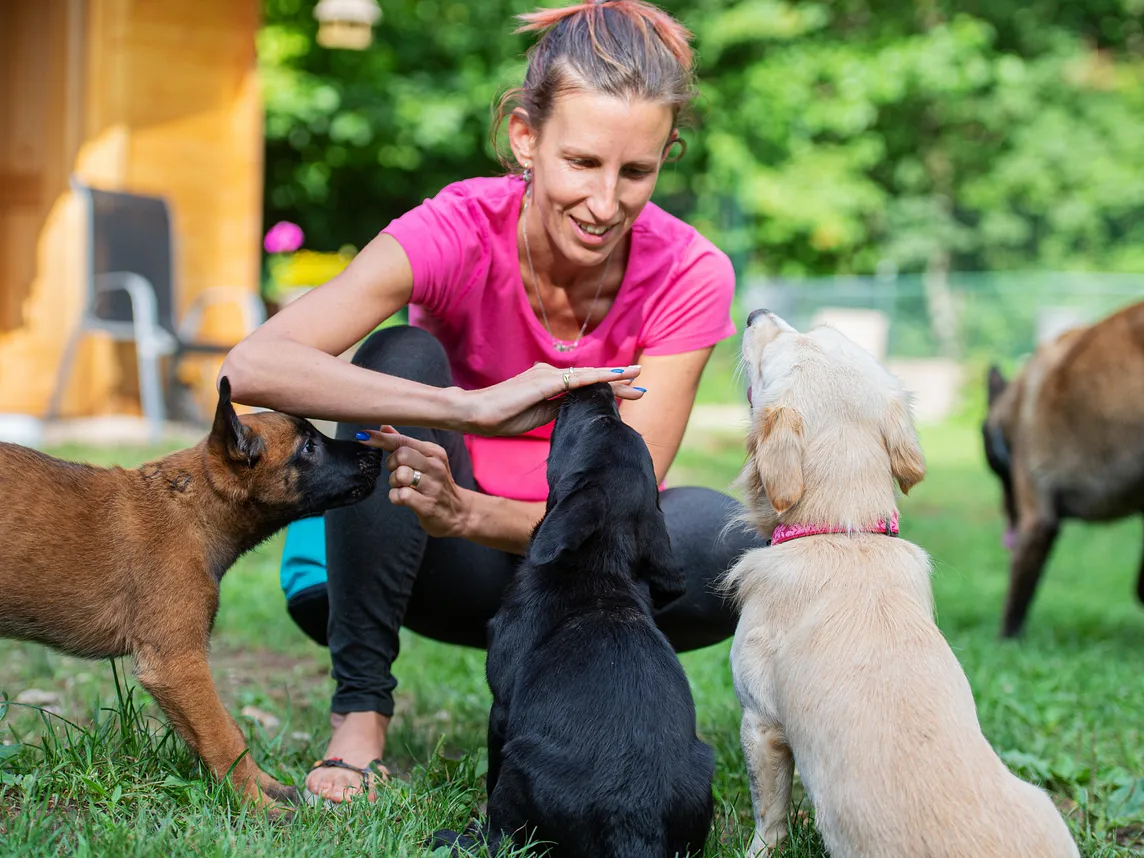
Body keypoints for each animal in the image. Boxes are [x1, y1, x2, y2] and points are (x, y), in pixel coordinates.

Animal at [0, 382, 384, 814]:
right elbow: (222, 736)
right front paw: (258, 806)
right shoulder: (177, 664)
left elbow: (225, 730)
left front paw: (265, 786)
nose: (377, 453)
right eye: (308, 447)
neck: (191, 507)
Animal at [430, 384, 709, 858]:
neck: (597, 567)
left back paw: (458, 838)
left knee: (505, 837)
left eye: (600, 422)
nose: (597, 386)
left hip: (520, 761)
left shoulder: (500, 710)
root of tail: (637, 821)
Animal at [723, 311, 1079, 858]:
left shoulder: (760, 721)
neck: (843, 532)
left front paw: (761, 847)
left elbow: (770, 812)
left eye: (778, 346)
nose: (754, 313)